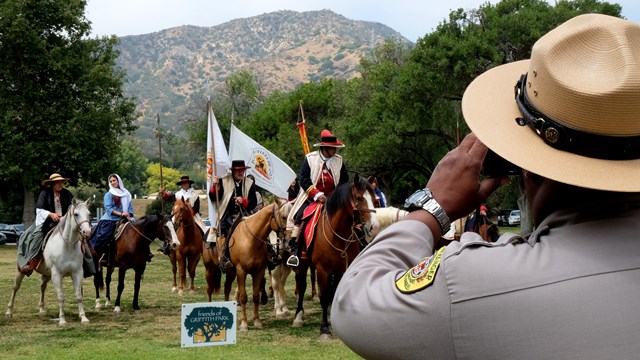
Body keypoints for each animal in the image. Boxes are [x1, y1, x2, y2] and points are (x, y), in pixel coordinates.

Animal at [219, 200, 292, 332]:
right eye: (284, 217)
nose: (290, 240)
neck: (251, 239)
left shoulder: (259, 271)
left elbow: (256, 296)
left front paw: (257, 321)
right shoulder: (241, 271)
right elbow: (243, 297)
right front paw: (244, 324)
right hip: (231, 271)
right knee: (227, 288)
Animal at [292, 176, 380, 338]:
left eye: (374, 200)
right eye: (359, 198)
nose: (375, 227)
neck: (337, 233)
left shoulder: (341, 269)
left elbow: (334, 294)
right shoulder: (322, 270)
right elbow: (324, 297)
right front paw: (324, 328)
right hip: (303, 263)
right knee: (301, 286)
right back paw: (298, 317)